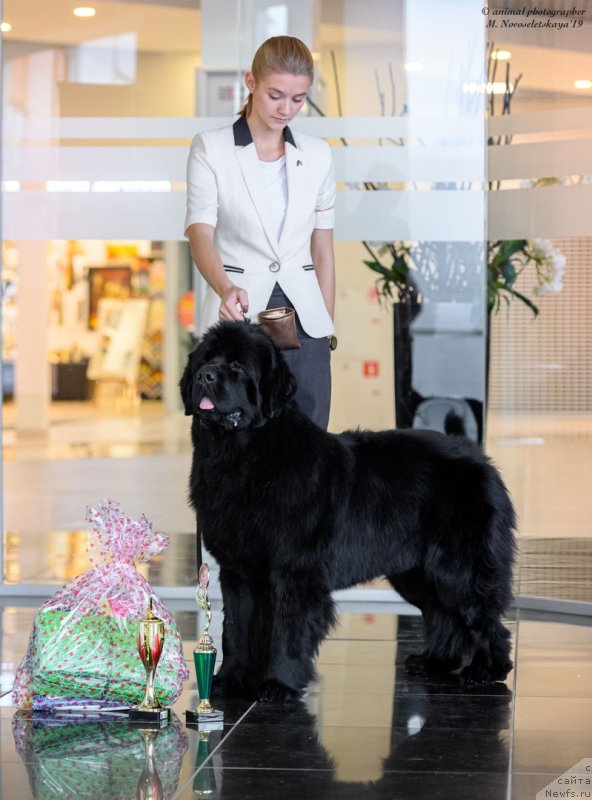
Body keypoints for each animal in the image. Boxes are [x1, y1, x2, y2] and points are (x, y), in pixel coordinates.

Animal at [179, 318, 512, 700]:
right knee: (442, 612)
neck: (239, 455)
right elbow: (236, 628)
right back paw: (435, 661)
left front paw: (279, 684)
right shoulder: (237, 572)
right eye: (206, 359)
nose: (204, 376)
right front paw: (226, 680)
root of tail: (480, 459)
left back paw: (487, 669)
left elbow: (288, 630)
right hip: (415, 571)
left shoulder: (294, 571)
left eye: (236, 366)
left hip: (459, 567)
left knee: (481, 616)